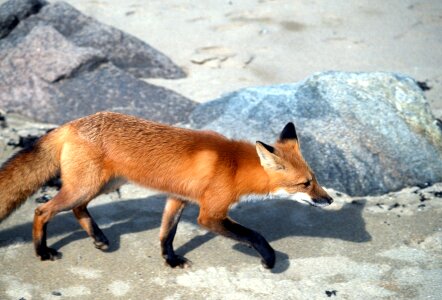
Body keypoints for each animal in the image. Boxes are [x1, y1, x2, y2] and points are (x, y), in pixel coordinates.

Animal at [0, 111, 332, 268]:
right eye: (305, 184)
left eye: (315, 178)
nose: (328, 200)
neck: (234, 165)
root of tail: (72, 123)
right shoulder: (210, 214)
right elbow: (255, 235)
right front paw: (269, 259)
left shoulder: (179, 198)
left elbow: (166, 234)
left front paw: (170, 260)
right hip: (84, 187)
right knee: (42, 210)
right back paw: (42, 251)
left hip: (102, 185)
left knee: (78, 209)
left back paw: (99, 239)